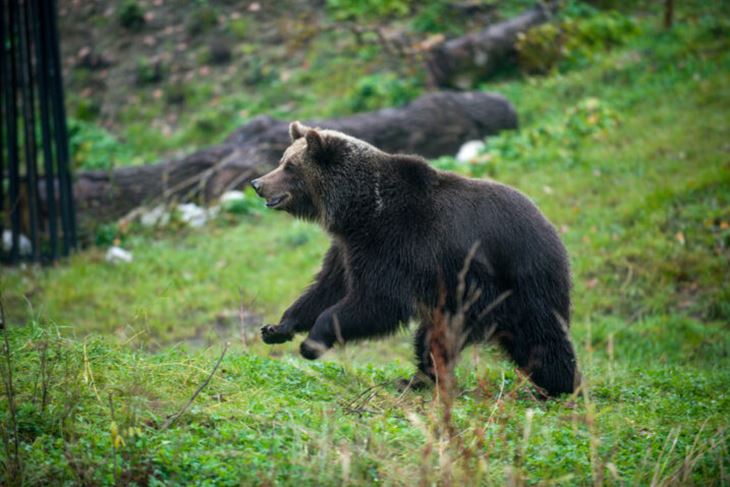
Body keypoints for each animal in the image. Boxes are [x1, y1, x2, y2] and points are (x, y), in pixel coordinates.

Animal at [253, 121, 576, 396]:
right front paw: (277, 328)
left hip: (513, 282)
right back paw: (419, 378)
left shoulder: (397, 244)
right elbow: (327, 288)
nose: (258, 183)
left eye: (290, 166)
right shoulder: (348, 249)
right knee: (433, 340)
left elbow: (378, 301)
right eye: (282, 159)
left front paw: (312, 342)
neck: (358, 211)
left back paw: (560, 386)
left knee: (541, 337)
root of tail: (551, 229)